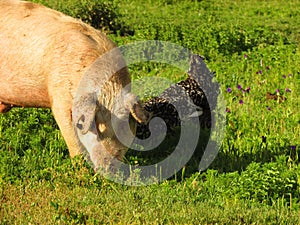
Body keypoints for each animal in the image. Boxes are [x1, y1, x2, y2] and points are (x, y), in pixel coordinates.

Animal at [0, 0, 149, 171]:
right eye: (97, 126)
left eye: (123, 127)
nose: (108, 168)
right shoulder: (59, 99)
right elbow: (73, 140)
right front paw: (79, 169)